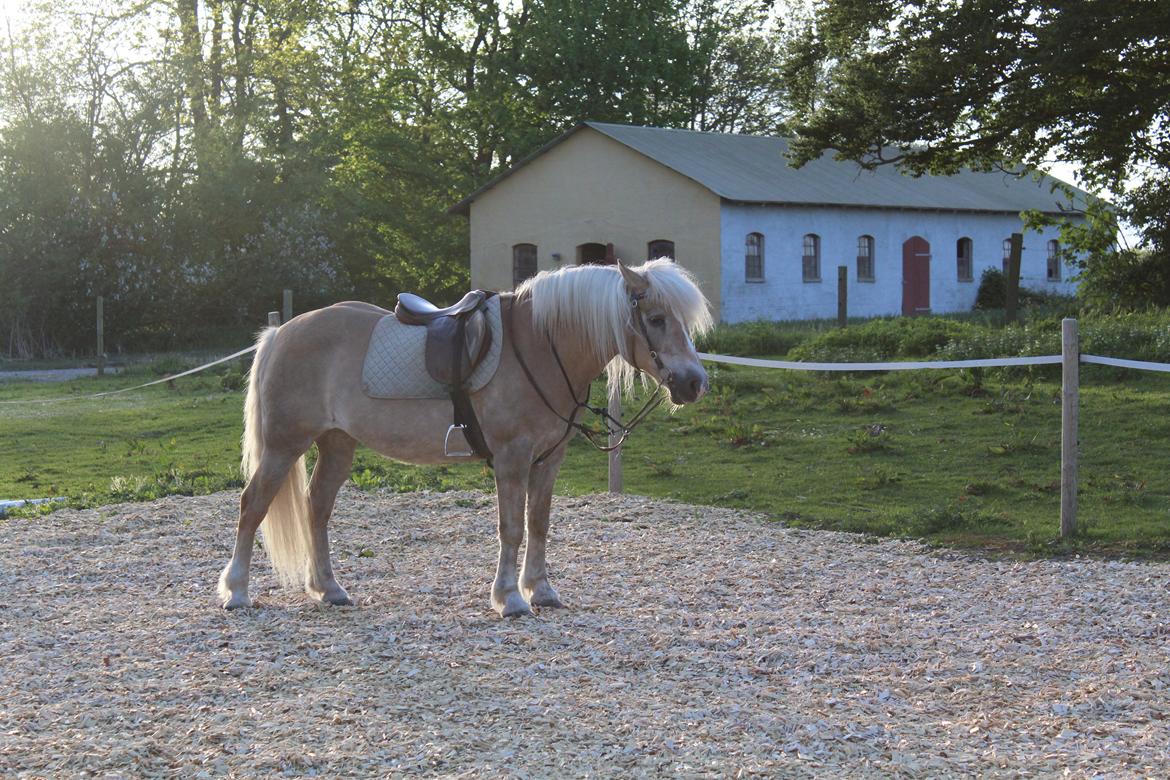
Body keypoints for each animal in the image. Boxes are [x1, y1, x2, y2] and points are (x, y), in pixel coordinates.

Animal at [218, 259, 711, 617]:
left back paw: (328, 589)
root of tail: (281, 331)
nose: (694, 383)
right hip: (284, 445)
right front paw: (510, 599)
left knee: (316, 508)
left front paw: (541, 590)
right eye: (656, 318)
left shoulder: (548, 459)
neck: (538, 346)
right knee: (253, 505)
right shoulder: (513, 458)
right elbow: (511, 528)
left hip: (337, 443)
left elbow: (539, 523)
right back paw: (236, 592)